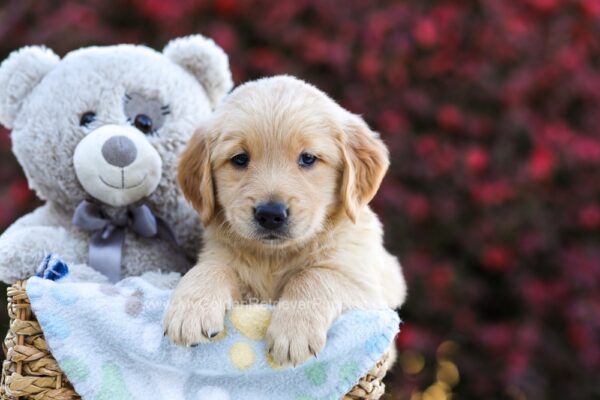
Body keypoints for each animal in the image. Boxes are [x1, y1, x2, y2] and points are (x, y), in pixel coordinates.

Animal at [164, 75, 408, 366]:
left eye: (308, 158)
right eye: (240, 159)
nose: (270, 214)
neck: (275, 257)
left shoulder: (367, 289)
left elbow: (314, 275)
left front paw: (294, 332)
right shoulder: (227, 266)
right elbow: (213, 267)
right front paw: (190, 310)